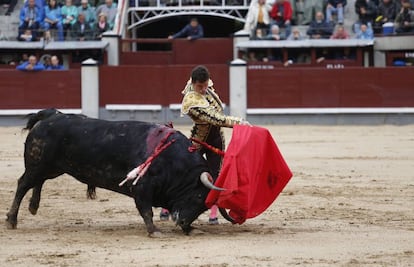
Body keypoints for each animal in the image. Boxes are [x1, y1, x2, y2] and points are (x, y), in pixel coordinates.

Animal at [5, 110, 226, 236]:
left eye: (204, 206)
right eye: (198, 197)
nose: (183, 223)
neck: (175, 162)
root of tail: (51, 116)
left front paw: (192, 229)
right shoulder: (142, 187)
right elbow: (146, 210)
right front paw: (154, 231)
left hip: (51, 168)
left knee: (38, 182)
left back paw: (33, 207)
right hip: (38, 165)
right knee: (23, 184)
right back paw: (11, 220)